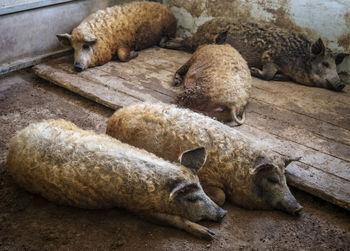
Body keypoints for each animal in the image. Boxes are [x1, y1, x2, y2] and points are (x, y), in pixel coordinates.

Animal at [8, 119, 228, 239]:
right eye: (192, 198)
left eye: (203, 189)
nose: (223, 213)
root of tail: (16, 138)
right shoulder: (137, 208)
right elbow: (174, 219)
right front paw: (209, 235)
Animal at [106, 103, 304, 215]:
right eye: (272, 179)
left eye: (285, 179)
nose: (299, 208)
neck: (236, 170)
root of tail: (115, 117)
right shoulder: (208, 177)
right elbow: (221, 197)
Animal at [161, 17, 348, 92]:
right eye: (325, 64)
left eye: (335, 66)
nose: (341, 84)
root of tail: (202, 28)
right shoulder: (270, 56)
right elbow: (268, 74)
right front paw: (252, 70)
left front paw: (279, 77)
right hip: (200, 41)